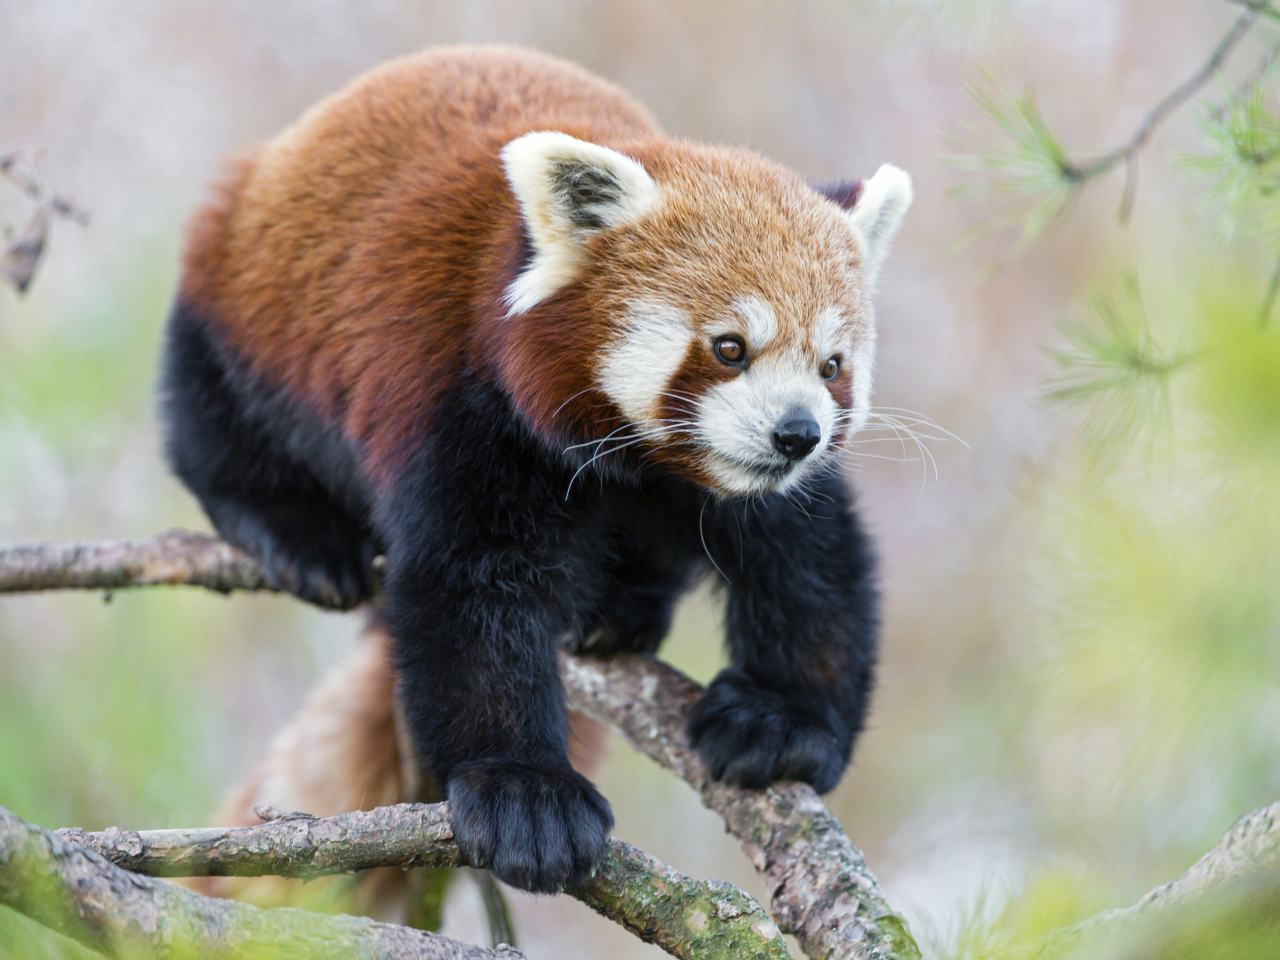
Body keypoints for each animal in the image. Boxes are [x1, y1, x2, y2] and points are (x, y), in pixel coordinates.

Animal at [162, 45, 911, 901]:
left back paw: (621, 608)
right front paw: (526, 793)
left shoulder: (743, 482)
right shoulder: (466, 398)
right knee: (213, 419)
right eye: (730, 347)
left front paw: (783, 721)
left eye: (832, 366)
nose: (797, 434)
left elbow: (810, 559)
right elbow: (474, 588)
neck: (639, 458)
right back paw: (296, 533)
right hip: (240, 298)